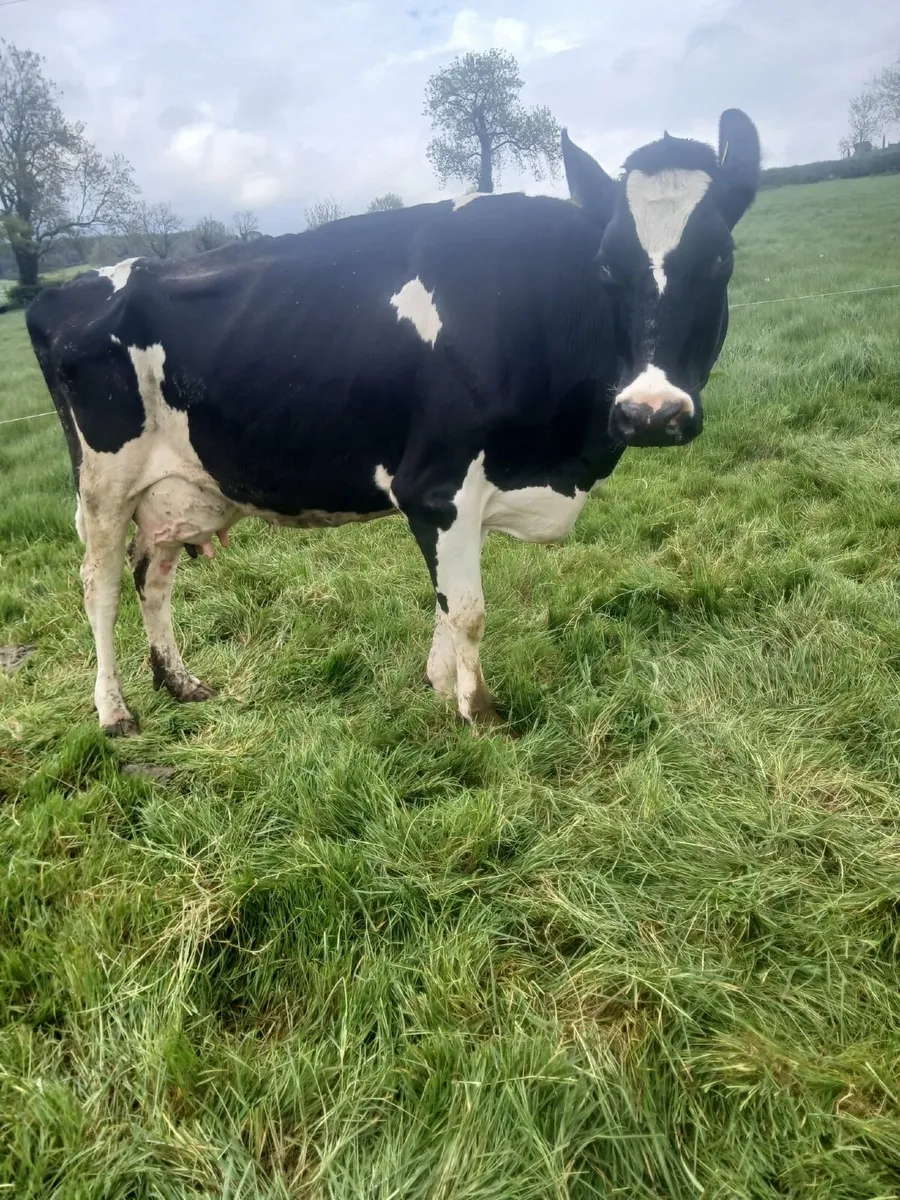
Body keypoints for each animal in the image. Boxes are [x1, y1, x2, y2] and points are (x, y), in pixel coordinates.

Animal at [26, 109, 760, 736]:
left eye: (722, 257)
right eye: (608, 265)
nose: (652, 412)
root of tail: (63, 291)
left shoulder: (464, 498)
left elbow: (444, 603)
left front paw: (439, 688)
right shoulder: (436, 487)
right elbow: (467, 610)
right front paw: (479, 713)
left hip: (174, 485)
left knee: (153, 574)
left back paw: (181, 683)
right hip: (103, 482)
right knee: (100, 585)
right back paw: (114, 711)